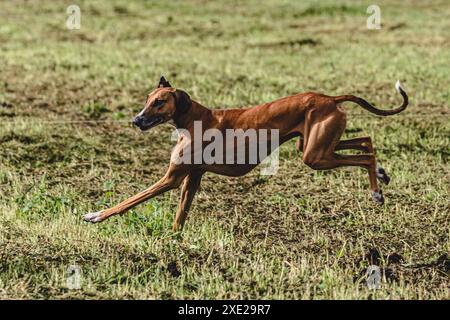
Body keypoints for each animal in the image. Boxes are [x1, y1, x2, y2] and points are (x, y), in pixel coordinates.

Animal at [83, 76, 408, 231]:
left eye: (159, 102)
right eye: (147, 99)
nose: (136, 121)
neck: (192, 118)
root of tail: (329, 98)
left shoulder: (172, 179)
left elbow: (129, 201)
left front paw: (96, 215)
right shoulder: (192, 178)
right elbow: (180, 215)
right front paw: (174, 239)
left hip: (315, 156)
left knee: (365, 155)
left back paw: (376, 192)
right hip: (315, 146)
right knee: (366, 141)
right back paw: (381, 174)